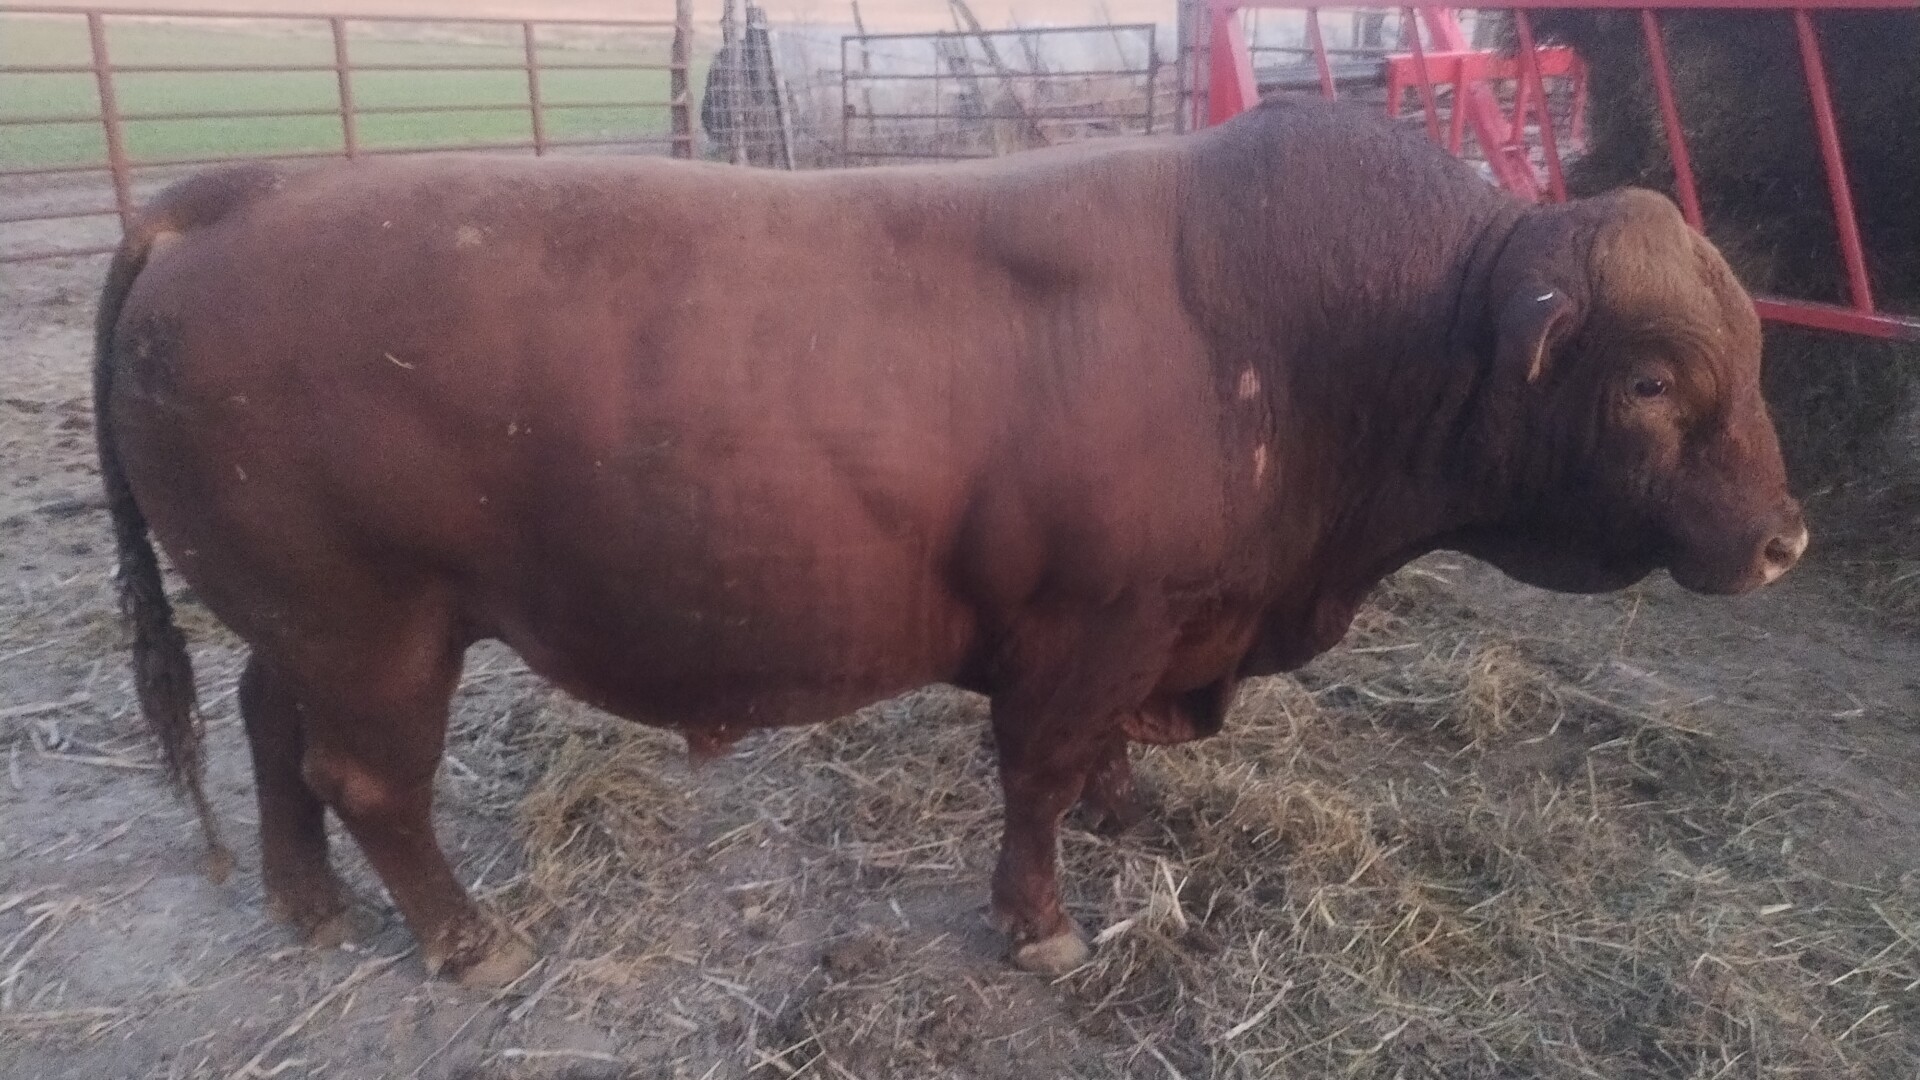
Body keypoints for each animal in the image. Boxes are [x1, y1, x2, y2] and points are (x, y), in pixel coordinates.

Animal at [93, 97, 1806, 986]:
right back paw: (463, 940)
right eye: (1651, 381)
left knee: (267, 728)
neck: (1308, 327)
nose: (1787, 540)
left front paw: (1128, 816)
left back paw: (306, 903)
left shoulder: (1153, 632)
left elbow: (1095, 765)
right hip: (379, 631)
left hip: (306, 626)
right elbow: (1036, 776)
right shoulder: (1088, 625)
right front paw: (1042, 924)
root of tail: (222, 200)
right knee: (368, 776)